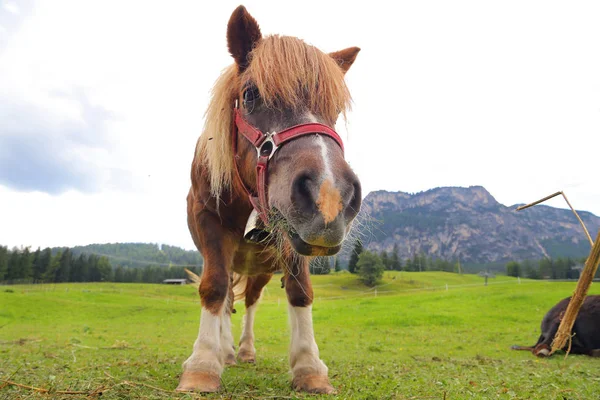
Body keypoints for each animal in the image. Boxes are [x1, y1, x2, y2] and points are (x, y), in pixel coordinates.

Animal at [175, 5, 360, 394]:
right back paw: (226, 352)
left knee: (250, 301)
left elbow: (300, 290)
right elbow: (213, 288)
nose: (329, 194)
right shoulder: (209, 225)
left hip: (260, 268)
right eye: (250, 94)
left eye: (336, 109)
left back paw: (243, 350)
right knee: (227, 299)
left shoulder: (292, 233)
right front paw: (203, 363)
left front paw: (309, 366)